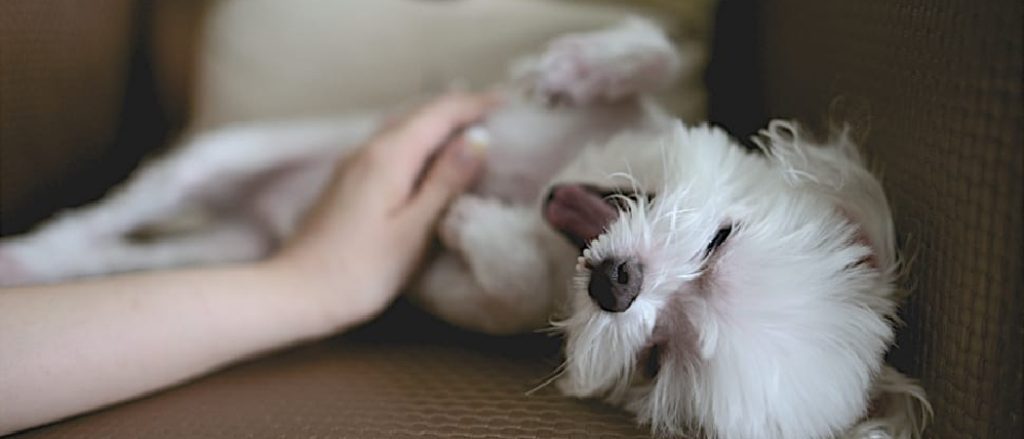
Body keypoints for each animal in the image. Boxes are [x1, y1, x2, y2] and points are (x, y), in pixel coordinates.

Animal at [0, 17, 929, 437]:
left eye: (657, 358)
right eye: (719, 240)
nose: (618, 282)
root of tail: (254, 216)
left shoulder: (463, 295)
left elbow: (502, 285)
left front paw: (473, 223)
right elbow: (656, 52)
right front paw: (582, 66)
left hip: (234, 250)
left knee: (122, 252)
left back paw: (36, 264)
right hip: (225, 156)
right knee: (139, 200)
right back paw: (33, 248)